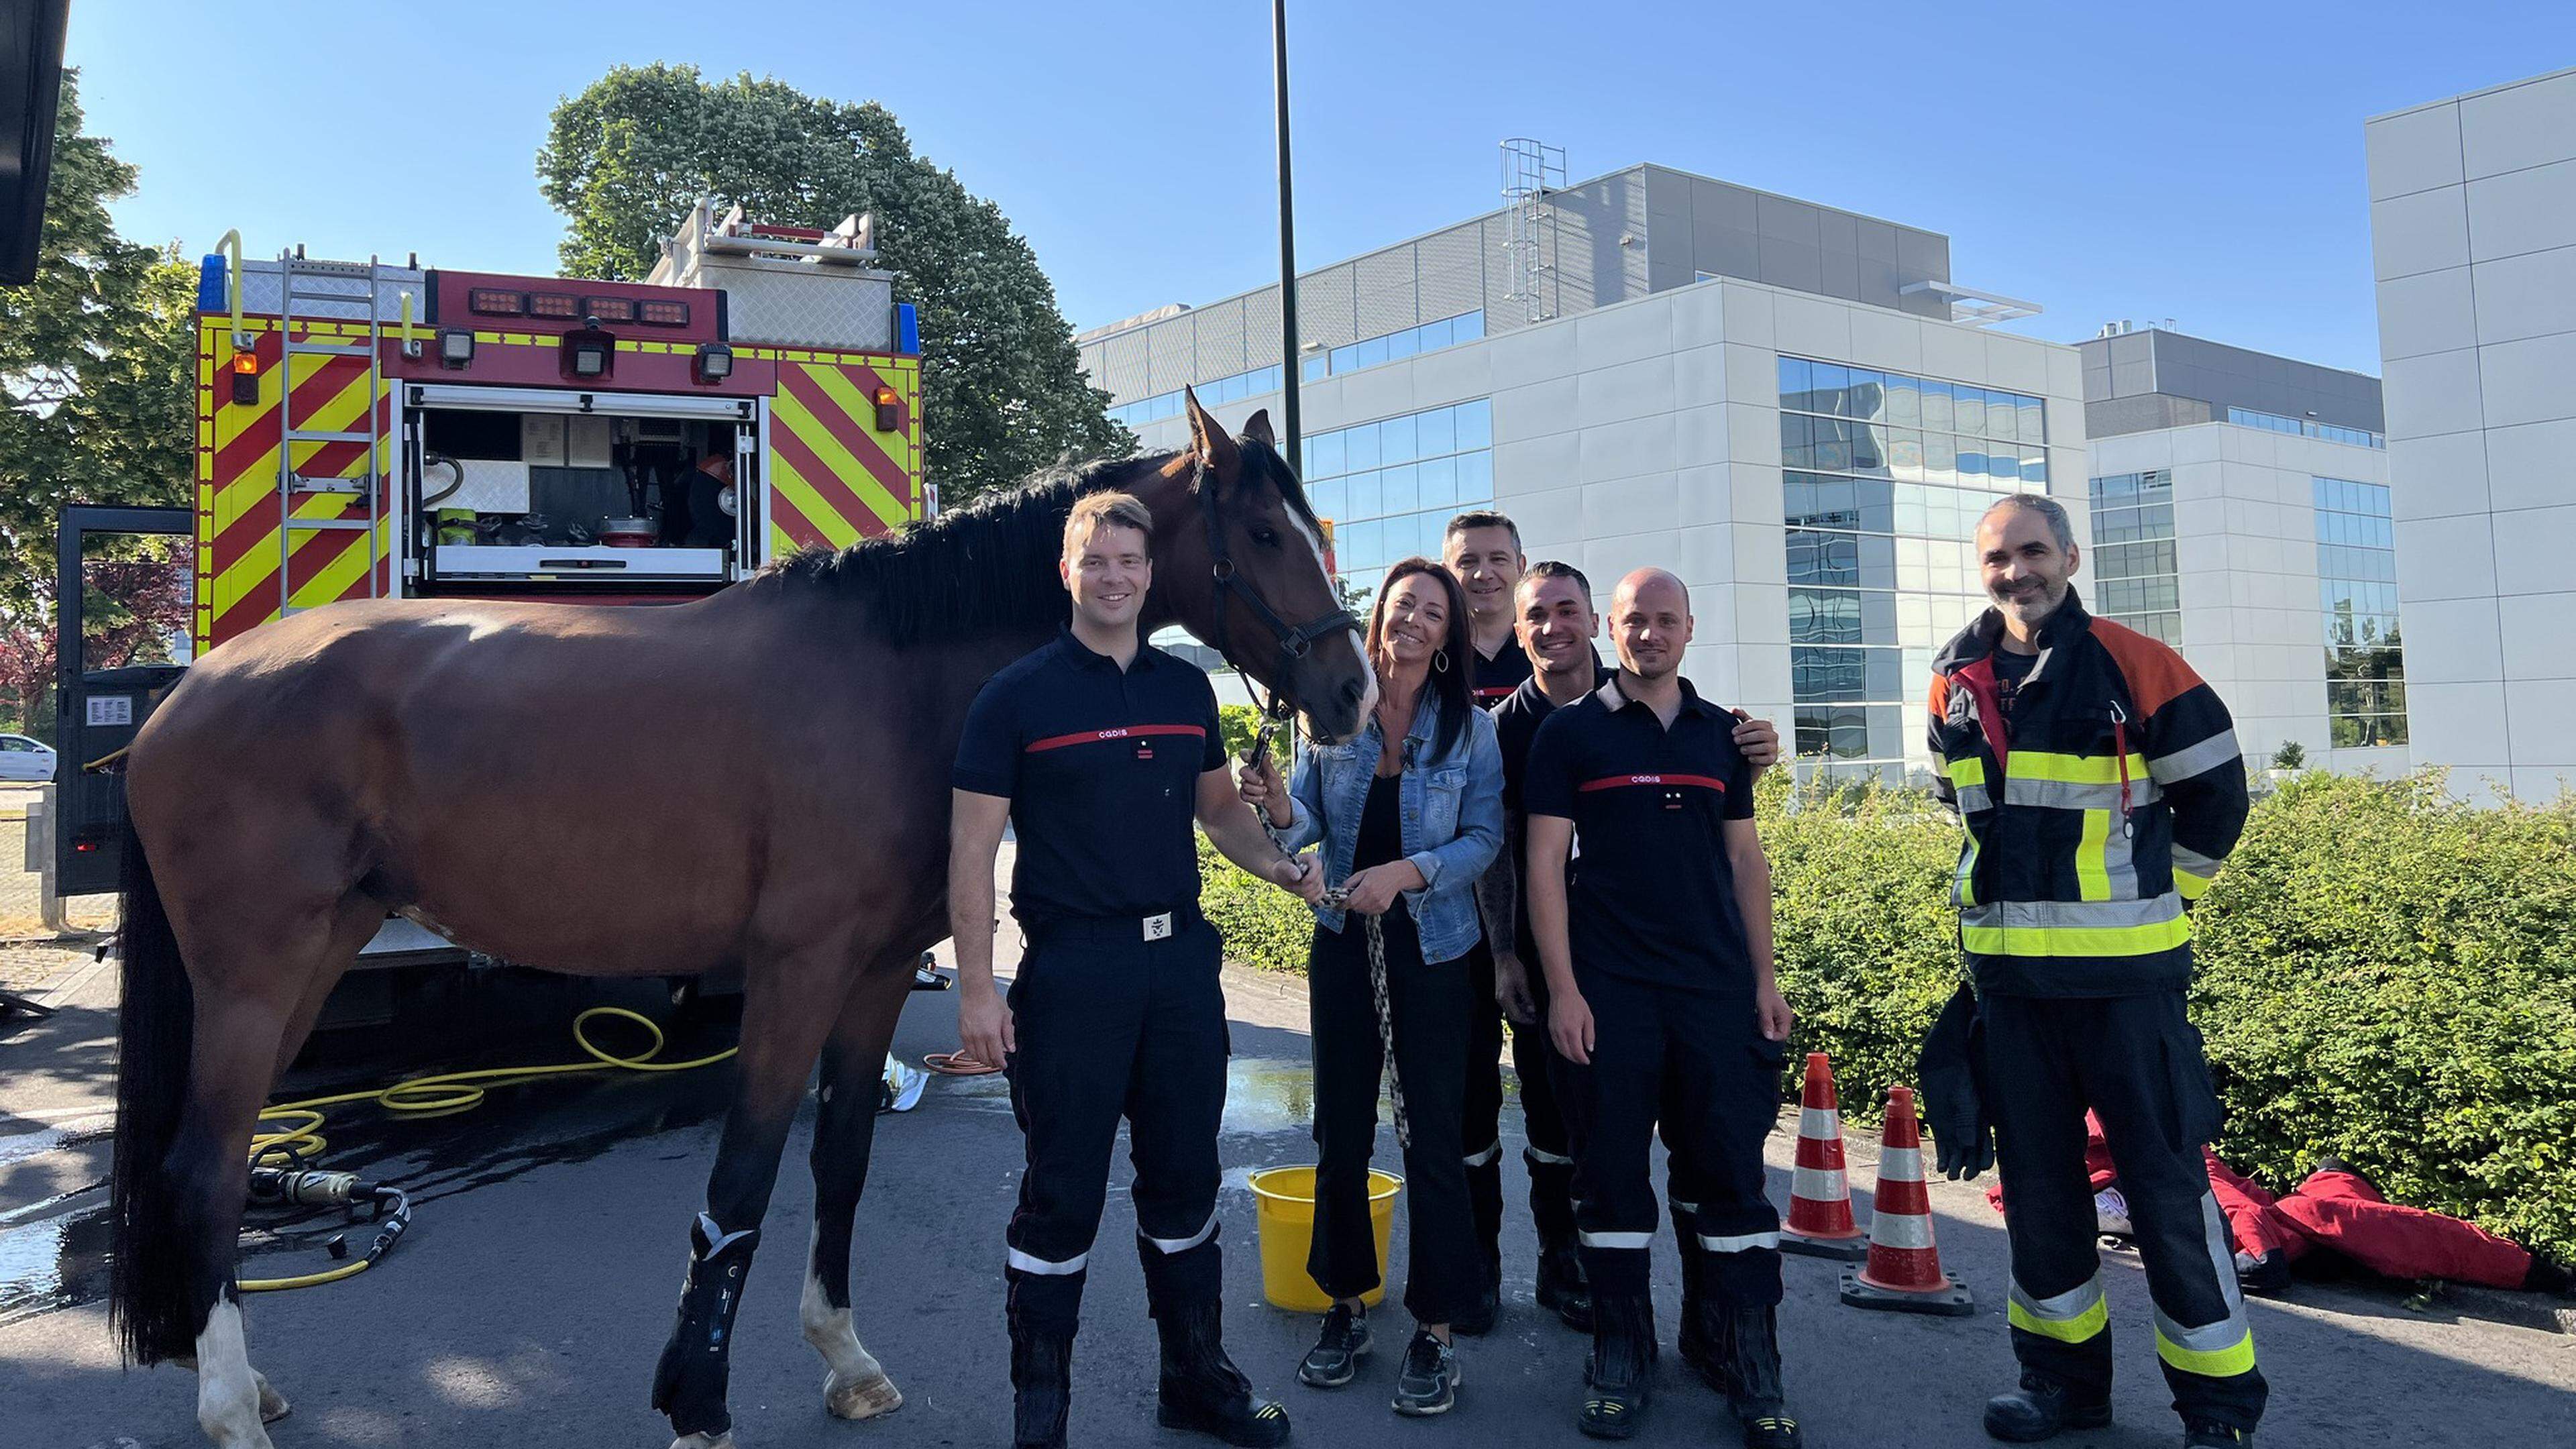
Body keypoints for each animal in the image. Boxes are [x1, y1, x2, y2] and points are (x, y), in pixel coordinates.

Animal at [108, 394, 1360, 1444]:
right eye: (1264, 535)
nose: (1348, 690)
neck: (891, 680)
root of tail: (188, 692)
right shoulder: (795, 972)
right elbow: (742, 1186)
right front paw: (697, 1403)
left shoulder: (872, 977)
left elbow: (840, 1167)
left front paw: (845, 1359)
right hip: (256, 981)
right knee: (206, 1170)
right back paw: (232, 1411)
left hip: (314, 958)